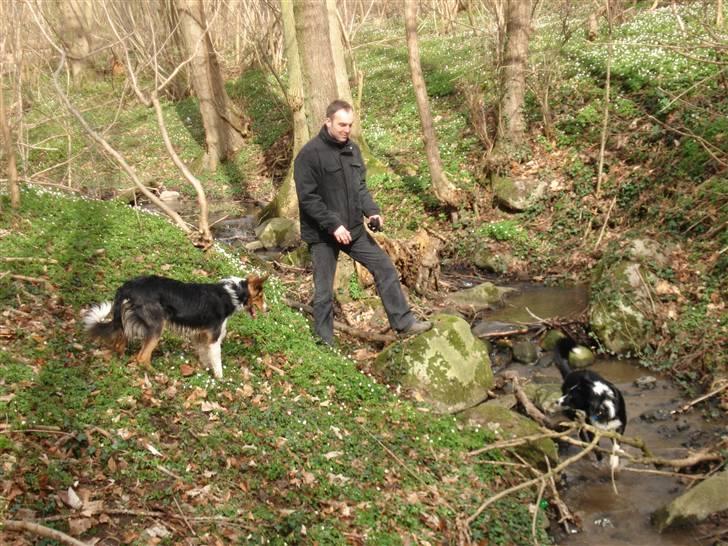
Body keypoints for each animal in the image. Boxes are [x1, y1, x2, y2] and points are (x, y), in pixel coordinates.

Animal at [83, 274, 268, 376]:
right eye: (261, 297)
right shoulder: (214, 338)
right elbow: (217, 363)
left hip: (127, 322)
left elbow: (205, 356)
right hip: (157, 326)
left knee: (120, 343)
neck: (233, 293)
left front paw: (206, 371)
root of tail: (128, 286)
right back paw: (156, 374)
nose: (268, 309)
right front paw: (220, 380)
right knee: (142, 357)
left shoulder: (199, 335)